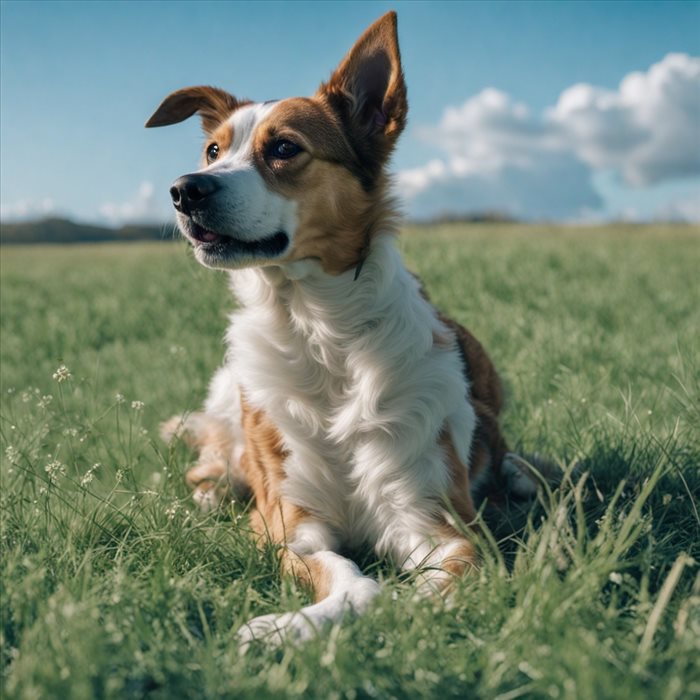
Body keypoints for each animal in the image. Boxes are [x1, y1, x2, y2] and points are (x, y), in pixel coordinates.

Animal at [146, 10, 536, 644]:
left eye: (284, 148)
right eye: (212, 150)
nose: (184, 190)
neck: (317, 329)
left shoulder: (440, 526)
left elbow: (412, 588)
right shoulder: (288, 525)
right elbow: (353, 579)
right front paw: (289, 627)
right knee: (209, 462)